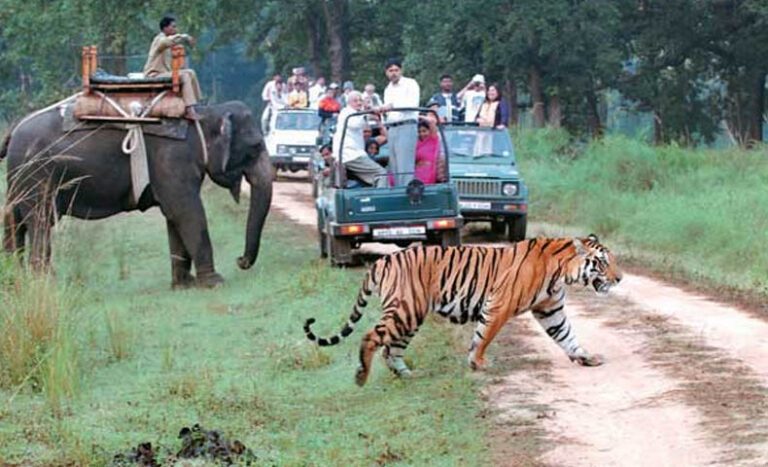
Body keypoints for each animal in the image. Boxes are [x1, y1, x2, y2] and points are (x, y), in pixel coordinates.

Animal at [0, 100, 272, 288]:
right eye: (256, 146)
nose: (240, 260)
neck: (204, 113)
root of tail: (14, 130)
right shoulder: (173, 159)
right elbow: (186, 211)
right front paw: (214, 282)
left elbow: (173, 216)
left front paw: (184, 285)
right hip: (37, 174)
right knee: (40, 221)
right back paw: (45, 283)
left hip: (19, 177)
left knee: (14, 221)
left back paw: (16, 280)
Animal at [304, 236, 620, 386]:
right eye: (603, 262)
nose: (619, 279)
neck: (562, 272)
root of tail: (382, 261)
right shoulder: (499, 305)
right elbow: (485, 335)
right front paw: (478, 363)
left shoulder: (550, 310)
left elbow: (566, 335)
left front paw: (586, 357)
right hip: (406, 310)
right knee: (371, 337)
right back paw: (361, 376)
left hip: (410, 316)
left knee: (390, 348)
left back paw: (406, 375)